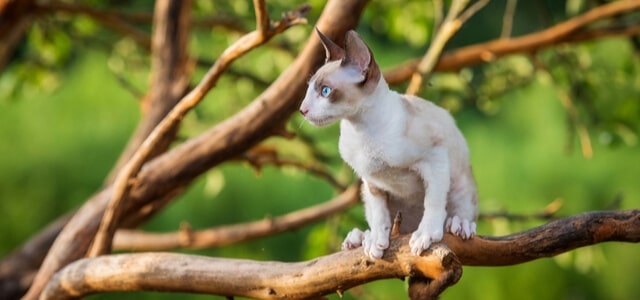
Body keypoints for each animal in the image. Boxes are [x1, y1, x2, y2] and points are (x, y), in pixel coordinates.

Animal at [298, 28, 476, 260]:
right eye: (309, 90)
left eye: (325, 91)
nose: (302, 109)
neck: (362, 130)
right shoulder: (371, 180)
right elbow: (380, 214)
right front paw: (376, 240)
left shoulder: (435, 157)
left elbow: (433, 201)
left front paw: (426, 234)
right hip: (365, 193)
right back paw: (360, 238)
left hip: (459, 181)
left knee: (462, 207)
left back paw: (459, 225)